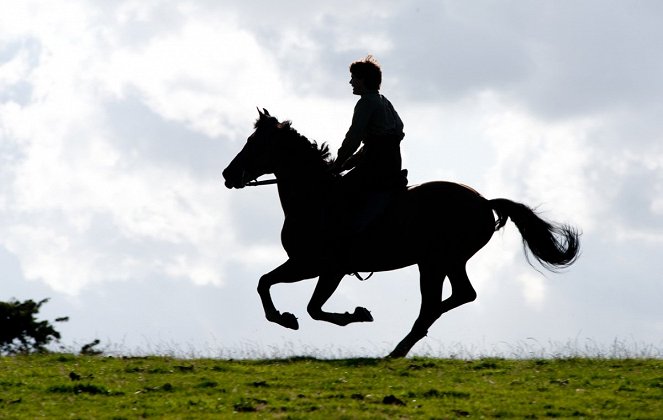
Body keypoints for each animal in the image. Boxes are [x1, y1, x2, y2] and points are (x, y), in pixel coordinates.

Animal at [223, 109, 580, 358]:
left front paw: (350, 315)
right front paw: (287, 318)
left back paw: (399, 347)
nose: (228, 174)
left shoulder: (322, 267)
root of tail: (484, 202)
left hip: (435, 262)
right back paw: (405, 343)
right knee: (459, 296)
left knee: (435, 303)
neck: (316, 198)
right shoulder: (309, 265)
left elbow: (307, 305)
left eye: (256, 145)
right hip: (445, 262)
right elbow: (268, 284)